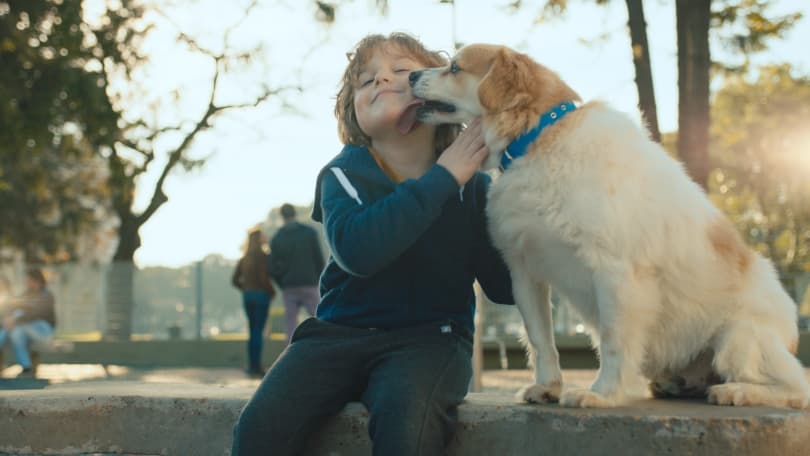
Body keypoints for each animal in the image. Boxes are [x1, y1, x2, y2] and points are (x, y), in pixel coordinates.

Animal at [410, 43, 808, 410]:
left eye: (455, 67)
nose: (412, 75)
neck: (537, 140)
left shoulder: (616, 272)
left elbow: (614, 341)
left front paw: (603, 394)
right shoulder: (524, 272)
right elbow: (541, 340)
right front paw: (548, 387)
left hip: (738, 341)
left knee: (796, 388)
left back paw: (735, 391)